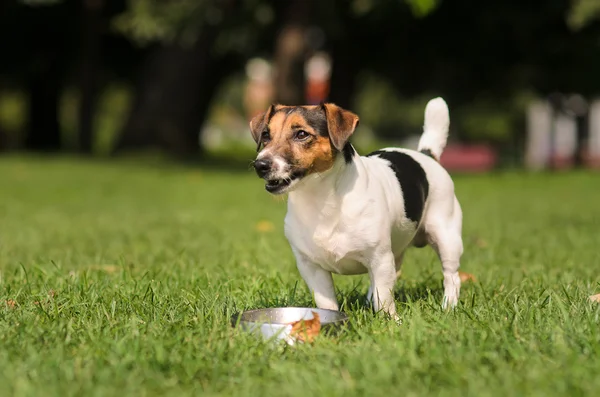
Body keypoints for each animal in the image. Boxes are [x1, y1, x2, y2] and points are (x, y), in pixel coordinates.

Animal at [248, 99, 464, 318]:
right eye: (266, 135)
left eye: (301, 134)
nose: (260, 165)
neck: (321, 199)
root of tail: (425, 154)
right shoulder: (311, 268)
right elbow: (327, 303)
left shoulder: (379, 259)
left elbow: (384, 298)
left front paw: (390, 321)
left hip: (446, 237)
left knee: (451, 276)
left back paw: (448, 306)